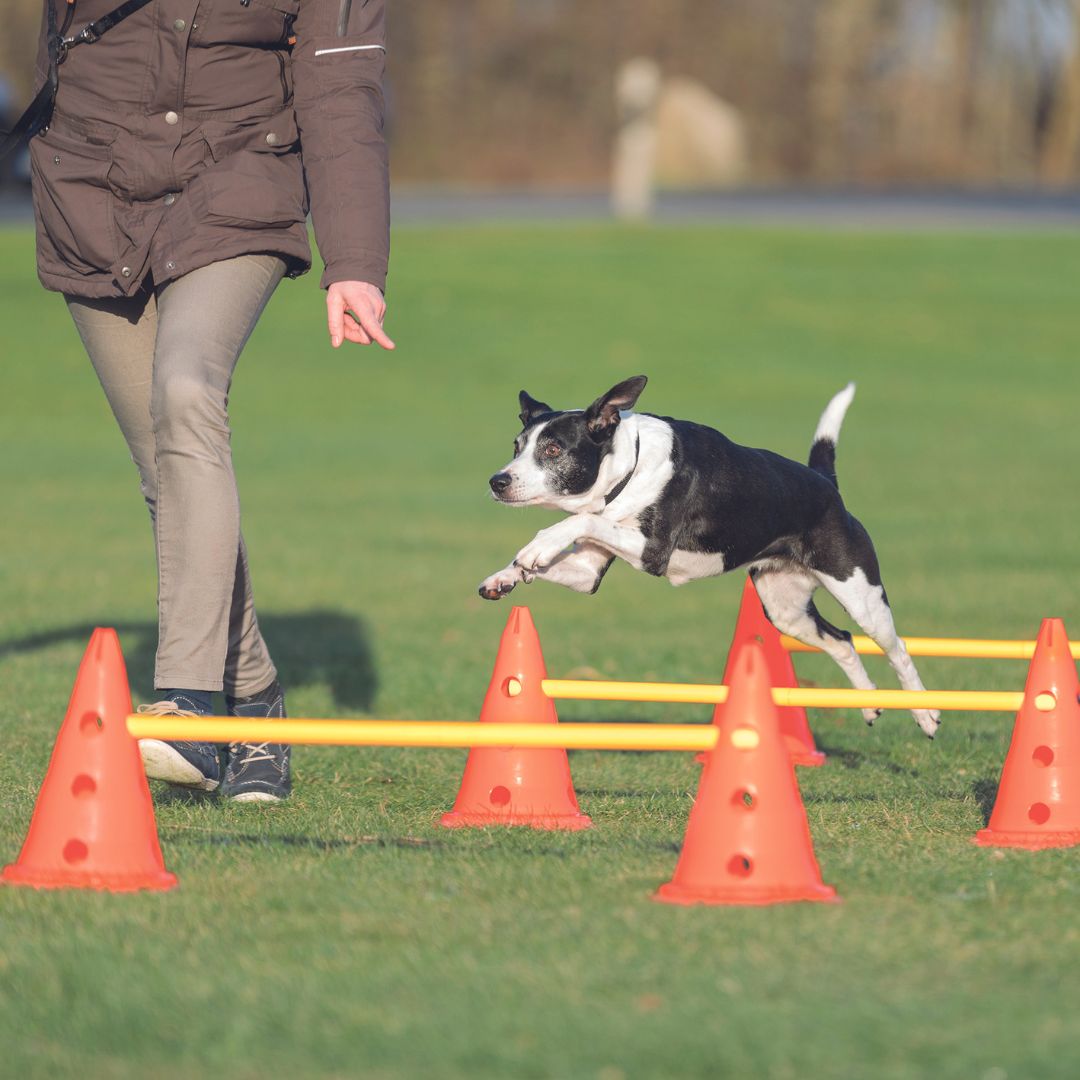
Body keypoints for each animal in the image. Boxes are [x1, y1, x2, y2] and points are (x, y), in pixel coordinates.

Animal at [477, 375, 941, 738]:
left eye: (553, 450)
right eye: (517, 446)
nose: (497, 481)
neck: (630, 464)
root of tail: (826, 483)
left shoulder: (652, 550)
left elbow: (579, 521)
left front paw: (537, 547)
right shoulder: (588, 569)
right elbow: (574, 540)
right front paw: (505, 576)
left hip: (860, 592)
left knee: (895, 647)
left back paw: (927, 714)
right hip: (785, 609)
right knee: (842, 640)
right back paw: (870, 704)